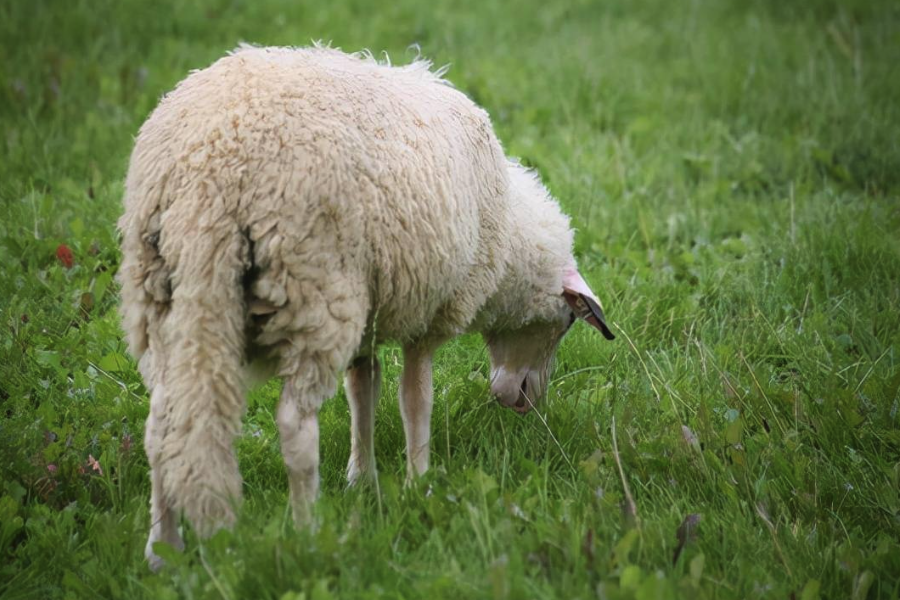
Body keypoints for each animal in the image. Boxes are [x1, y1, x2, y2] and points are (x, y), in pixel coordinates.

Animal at [118, 43, 612, 568]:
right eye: (566, 323)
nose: (527, 404)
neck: (507, 246)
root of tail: (207, 174)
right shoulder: (428, 313)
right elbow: (415, 399)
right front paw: (420, 482)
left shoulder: (370, 315)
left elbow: (364, 390)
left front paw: (363, 478)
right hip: (314, 292)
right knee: (294, 425)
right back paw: (307, 535)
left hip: (160, 299)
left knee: (160, 426)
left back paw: (161, 551)